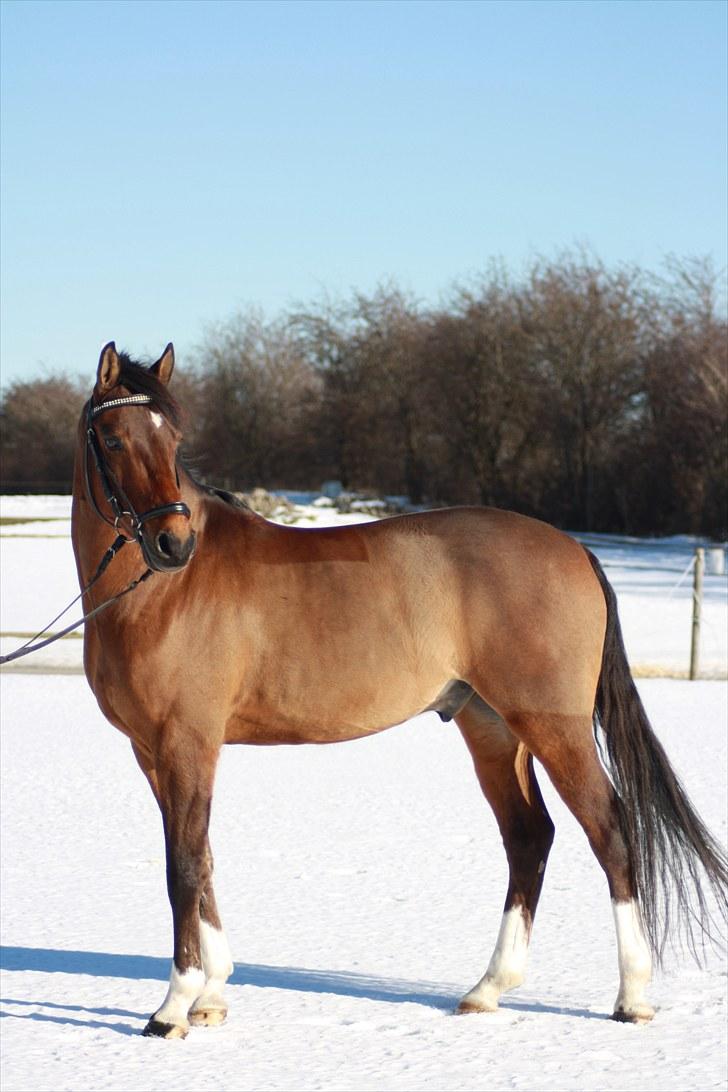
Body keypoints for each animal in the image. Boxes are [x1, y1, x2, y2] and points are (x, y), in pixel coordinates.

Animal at [70, 341, 728, 1039]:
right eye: (112, 438)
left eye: (174, 439)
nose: (173, 543)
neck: (159, 594)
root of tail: (574, 548)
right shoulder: (155, 750)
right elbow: (202, 858)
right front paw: (213, 994)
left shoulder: (186, 741)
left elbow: (185, 866)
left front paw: (174, 1006)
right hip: (493, 729)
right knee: (530, 837)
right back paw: (489, 988)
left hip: (554, 726)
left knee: (610, 830)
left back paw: (632, 996)